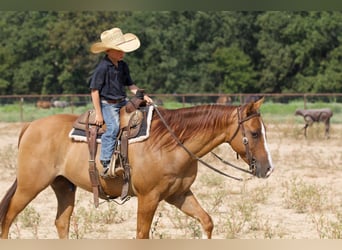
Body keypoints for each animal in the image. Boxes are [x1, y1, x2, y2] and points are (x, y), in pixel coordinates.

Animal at [0, 97, 272, 238]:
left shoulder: (179, 194)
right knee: (9, 217)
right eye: (255, 133)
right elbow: (142, 234)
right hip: (30, 185)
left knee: (61, 222)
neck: (171, 142)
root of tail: (31, 126)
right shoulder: (148, 198)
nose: (268, 169)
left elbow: (206, 221)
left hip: (64, 186)